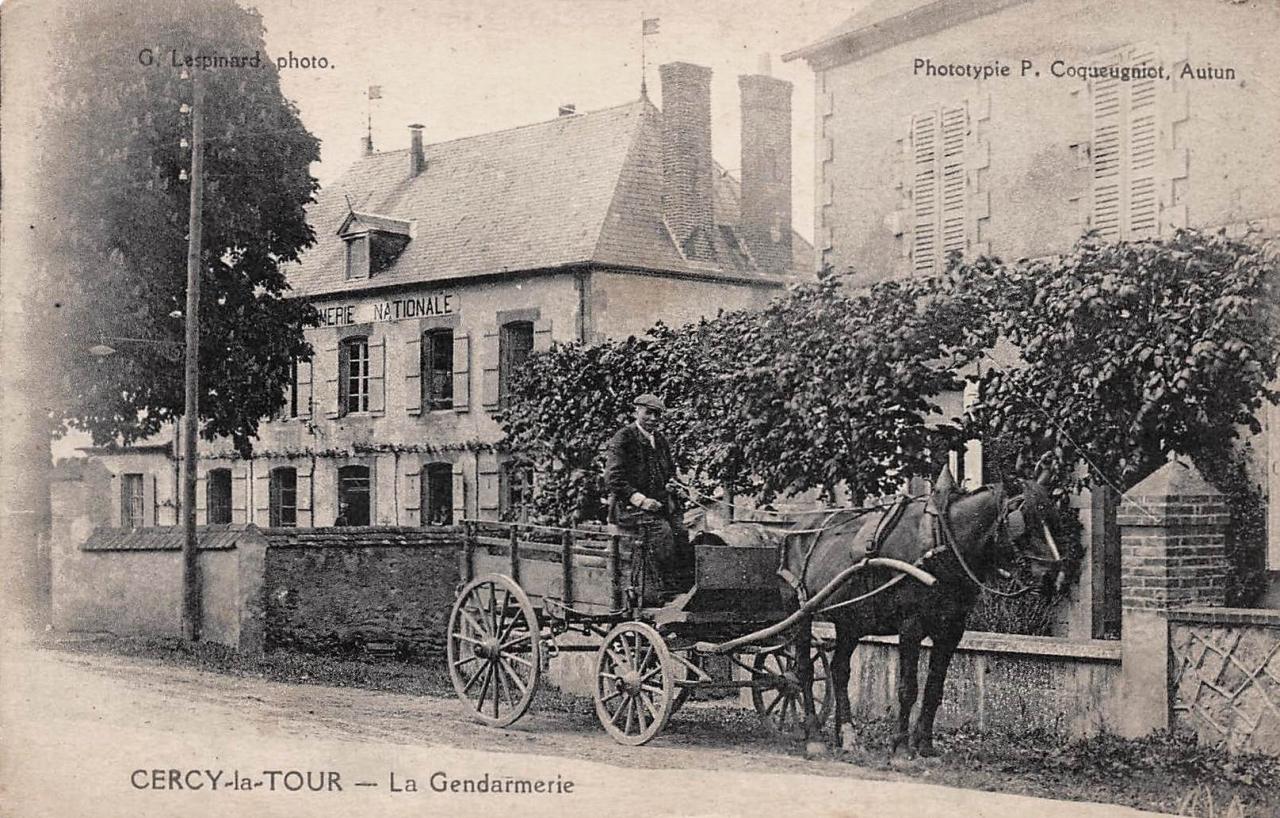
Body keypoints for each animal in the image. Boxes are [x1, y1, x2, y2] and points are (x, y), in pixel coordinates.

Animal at [773, 476, 1064, 757]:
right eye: (1025, 525)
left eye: (1052, 520)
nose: (1054, 577)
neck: (941, 541)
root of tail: (795, 529)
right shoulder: (910, 626)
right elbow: (908, 689)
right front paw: (901, 747)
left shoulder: (951, 631)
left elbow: (934, 688)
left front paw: (925, 745)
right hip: (801, 614)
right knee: (804, 671)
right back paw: (814, 736)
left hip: (851, 620)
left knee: (839, 670)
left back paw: (846, 734)